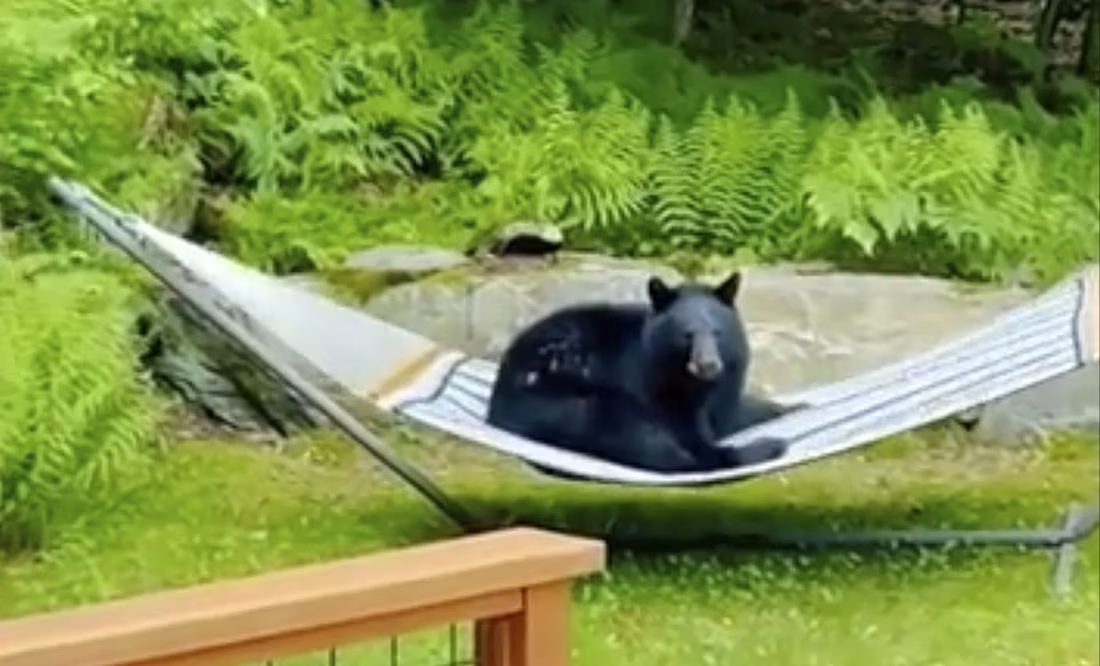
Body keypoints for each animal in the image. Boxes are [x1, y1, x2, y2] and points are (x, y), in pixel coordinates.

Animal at [484, 270, 803, 475]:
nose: (708, 365)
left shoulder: (725, 386)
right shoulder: (654, 385)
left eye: (717, 333)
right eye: (687, 335)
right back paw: (769, 446)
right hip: (571, 400)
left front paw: (793, 407)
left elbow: (735, 412)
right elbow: (690, 435)